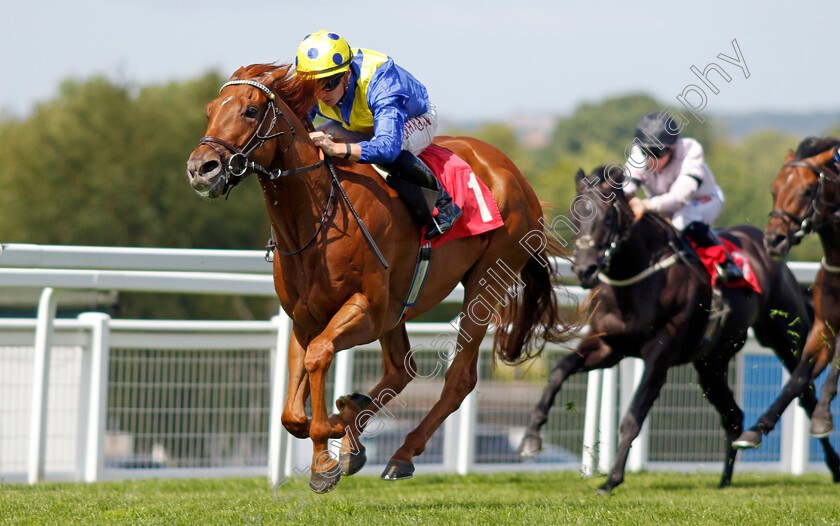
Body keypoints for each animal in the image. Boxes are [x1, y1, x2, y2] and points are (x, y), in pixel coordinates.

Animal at [185, 65, 576, 496]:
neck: (318, 216)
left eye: (251, 111)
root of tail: (514, 173)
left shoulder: (367, 311)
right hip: (401, 304)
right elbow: (292, 411)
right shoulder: (304, 318)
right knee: (401, 370)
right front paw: (335, 438)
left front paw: (326, 454)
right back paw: (355, 430)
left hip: (486, 280)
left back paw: (401, 453)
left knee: (459, 378)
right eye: (209, 111)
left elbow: (319, 356)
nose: (201, 168)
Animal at [516, 166, 836, 496]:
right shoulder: (608, 346)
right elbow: (559, 371)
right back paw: (725, 480)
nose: (584, 270)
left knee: (805, 394)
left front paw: (611, 479)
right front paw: (530, 439)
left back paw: (831, 463)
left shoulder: (660, 355)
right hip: (712, 363)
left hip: (787, 337)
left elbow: (633, 417)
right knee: (733, 415)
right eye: (575, 214)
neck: (634, 280)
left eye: (606, 217)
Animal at [732, 137, 840, 454]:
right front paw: (755, 430)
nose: (773, 240)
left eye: (807, 190)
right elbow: (799, 377)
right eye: (774, 189)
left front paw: (822, 416)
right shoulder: (823, 325)